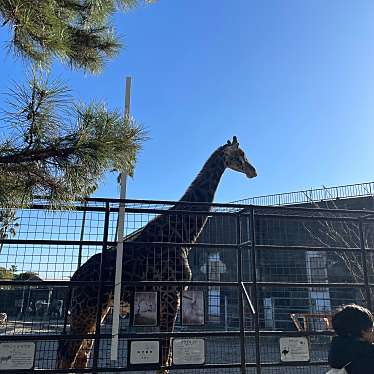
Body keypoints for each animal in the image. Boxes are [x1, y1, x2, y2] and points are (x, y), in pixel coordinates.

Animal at [56, 137, 258, 372]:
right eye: (241, 154)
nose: (253, 171)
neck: (183, 237)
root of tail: (74, 278)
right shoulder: (170, 294)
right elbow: (164, 357)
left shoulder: (169, 297)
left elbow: (166, 356)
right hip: (84, 310)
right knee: (68, 356)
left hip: (99, 310)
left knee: (80, 355)